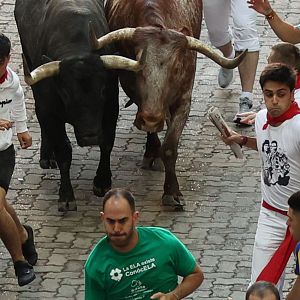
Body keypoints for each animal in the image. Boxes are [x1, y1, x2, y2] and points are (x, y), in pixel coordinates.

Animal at [89, 0, 246, 206]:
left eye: (177, 67)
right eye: (137, 65)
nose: (152, 118)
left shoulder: (184, 99)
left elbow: (170, 147)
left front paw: (172, 192)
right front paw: (153, 151)